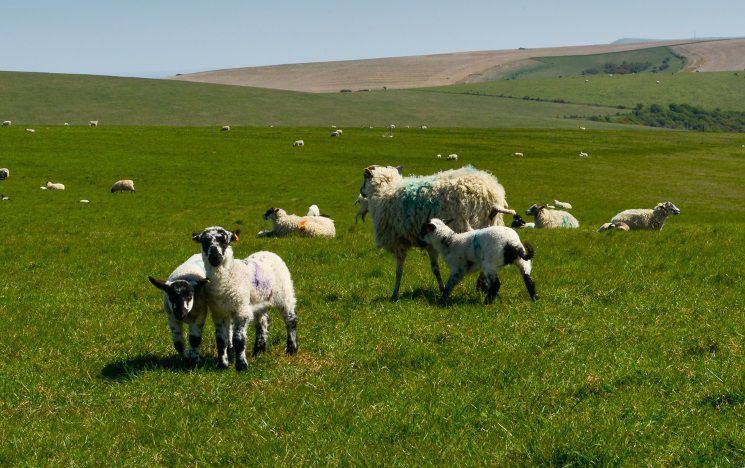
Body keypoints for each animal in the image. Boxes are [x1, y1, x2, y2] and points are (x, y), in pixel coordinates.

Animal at [195, 225, 300, 372]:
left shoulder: (241, 310)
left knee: (291, 319)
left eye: (224, 240)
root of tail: (267, 252)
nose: (215, 257)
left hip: (284, 293)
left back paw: (291, 349)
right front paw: (222, 364)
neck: (225, 280)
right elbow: (221, 340)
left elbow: (238, 339)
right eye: (205, 241)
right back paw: (259, 350)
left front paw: (242, 365)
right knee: (263, 321)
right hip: (259, 299)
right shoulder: (219, 312)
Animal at [358, 165, 512, 300]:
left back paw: (483, 286)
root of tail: (492, 195)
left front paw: (395, 294)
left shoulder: (398, 242)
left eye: (365, 177)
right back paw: (483, 286)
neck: (384, 190)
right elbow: (435, 269)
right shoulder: (429, 243)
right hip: (492, 226)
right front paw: (441, 288)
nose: (361, 191)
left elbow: (399, 271)